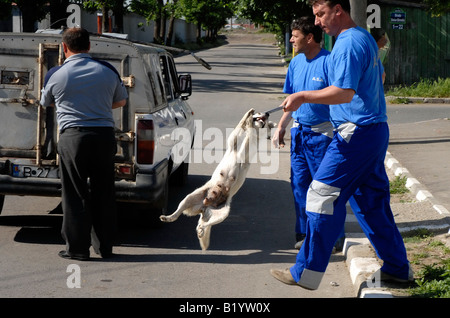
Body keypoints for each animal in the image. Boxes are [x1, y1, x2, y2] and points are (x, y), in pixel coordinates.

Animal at [161, 108, 274, 250]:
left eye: (266, 118)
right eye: (259, 113)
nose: (267, 113)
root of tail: (205, 207)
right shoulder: (233, 141)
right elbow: (240, 126)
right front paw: (249, 115)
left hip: (222, 214)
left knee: (205, 224)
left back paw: (201, 228)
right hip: (190, 198)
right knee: (179, 212)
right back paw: (169, 217)